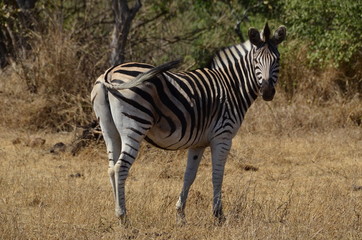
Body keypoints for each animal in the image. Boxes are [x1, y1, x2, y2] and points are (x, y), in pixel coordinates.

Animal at [92, 23, 288, 224]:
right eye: (256, 61)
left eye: (278, 60)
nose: (267, 92)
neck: (232, 86)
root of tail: (110, 72)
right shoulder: (223, 136)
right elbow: (217, 175)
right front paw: (218, 215)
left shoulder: (198, 143)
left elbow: (189, 175)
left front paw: (180, 214)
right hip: (134, 127)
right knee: (120, 167)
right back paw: (123, 216)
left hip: (109, 131)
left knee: (111, 168)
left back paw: (117, 212)